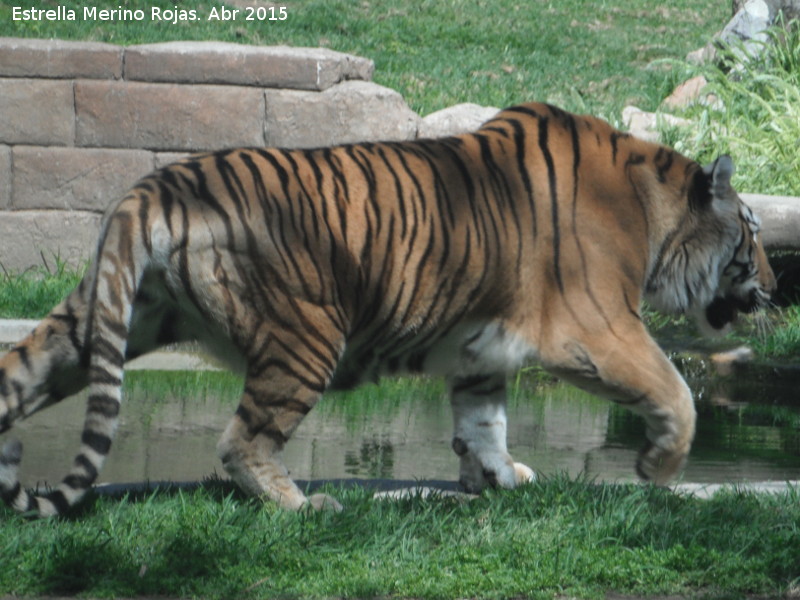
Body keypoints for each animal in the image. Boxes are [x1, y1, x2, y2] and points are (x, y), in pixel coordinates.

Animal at [0, 102, 776, 516]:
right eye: (753, 233)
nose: (775, 286)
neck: (656, 215)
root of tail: (153, 187)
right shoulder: (598, 327)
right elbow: (676, 391)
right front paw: (657, 475)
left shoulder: (482, 351)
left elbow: (484, 423)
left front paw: (498, 480)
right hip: (308, 334)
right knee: (242, 442)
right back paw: (303, 508)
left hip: (103, 322)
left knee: (17, 375)